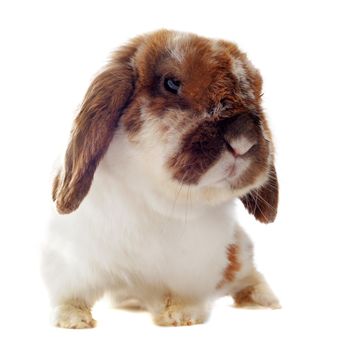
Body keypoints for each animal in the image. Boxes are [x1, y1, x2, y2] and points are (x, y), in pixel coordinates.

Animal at [41, 29, 282, 328]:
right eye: (171, 83)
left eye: (257, 94)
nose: (243, 139)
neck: (157, 195)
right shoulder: (74, 262)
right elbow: (72, 295)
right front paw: (73, 319)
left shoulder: (192, 270)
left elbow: (180, 295)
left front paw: (180, 315)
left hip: (239, 252)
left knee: (249, 276)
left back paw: (265, 301)